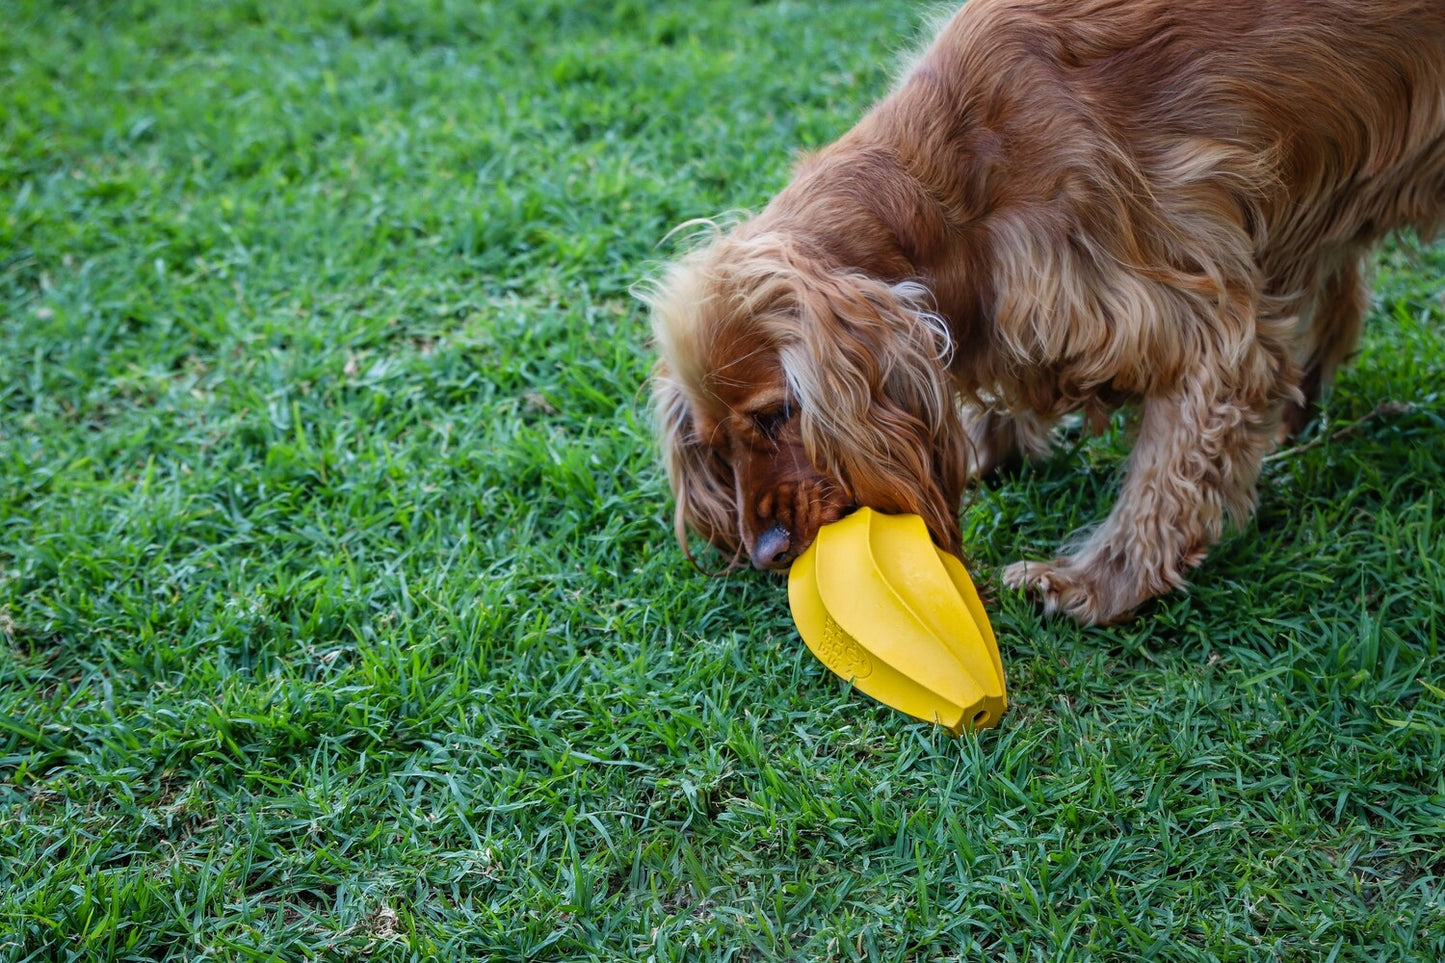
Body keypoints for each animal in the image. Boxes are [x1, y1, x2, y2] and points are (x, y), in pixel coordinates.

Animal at [644, 0, 1445, 621]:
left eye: (778, 415)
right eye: (715, 445)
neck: (945, 188)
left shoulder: (1192, 317)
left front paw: (1094, 584)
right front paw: (979, 451)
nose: (763, 554)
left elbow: (1166, 476)